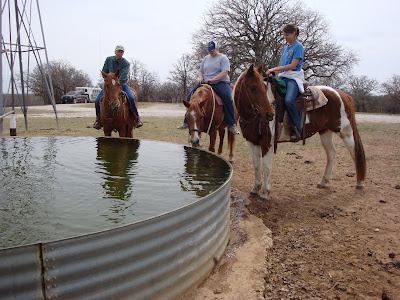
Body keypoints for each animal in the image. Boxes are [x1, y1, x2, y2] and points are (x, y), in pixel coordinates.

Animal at [233, 65, 368, 202]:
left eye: (264, 87)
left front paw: (265, 193)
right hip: (325, 132)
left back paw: (360, 183)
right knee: (331, 153)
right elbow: (256, 165)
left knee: (354, 152)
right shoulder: (252, 142)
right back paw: (323, 182)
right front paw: (255, 189)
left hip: (345, 131)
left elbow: (266, 167)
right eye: (253, 88)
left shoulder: (267, 143)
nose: (269, 114)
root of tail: (343, 94)